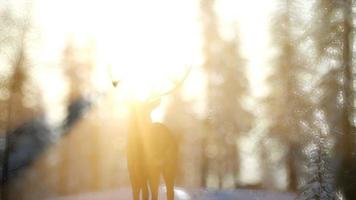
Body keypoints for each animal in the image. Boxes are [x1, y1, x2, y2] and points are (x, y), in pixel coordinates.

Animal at [111, 67, 191, 200]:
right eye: (133, 110)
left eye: (146, 110)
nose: (139, 121)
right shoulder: (132, 171)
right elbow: (138, 194)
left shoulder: (153, 168)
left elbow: (153, 194)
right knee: (150, 191)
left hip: (170, 164)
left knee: (169, 191)